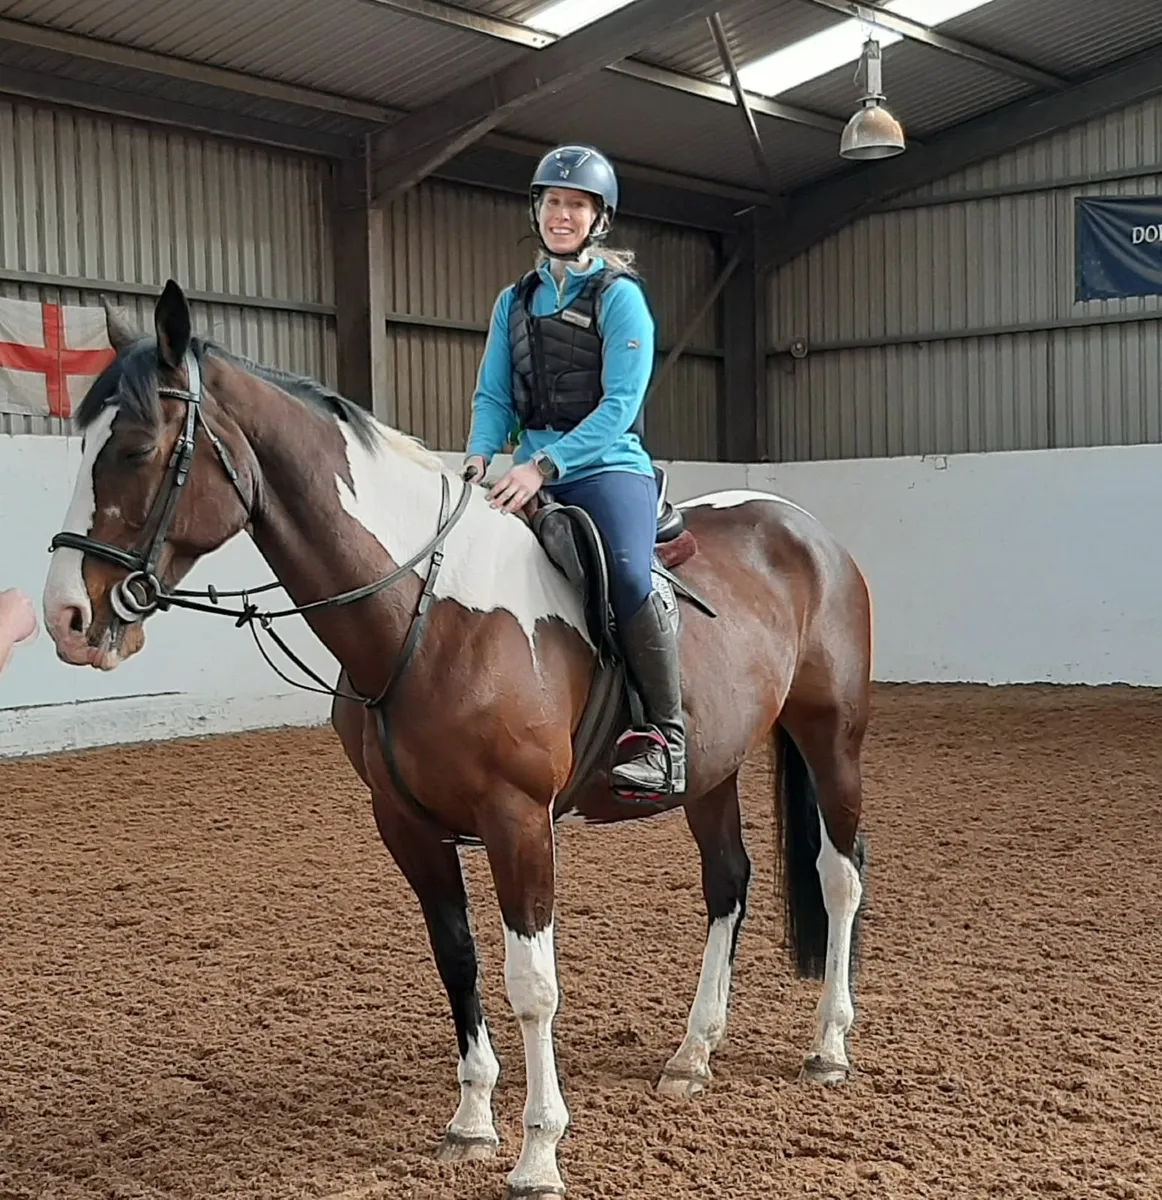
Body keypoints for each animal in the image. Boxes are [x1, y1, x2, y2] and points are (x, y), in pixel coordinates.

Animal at [41, 280, 872, 1200]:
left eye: (136, 446)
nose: (65, 617)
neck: (425, 610)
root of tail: (801, 524)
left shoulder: (519, 821)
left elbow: (531, 984)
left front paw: (539, 1152)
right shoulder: (407, 826)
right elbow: (458, 958)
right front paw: (472, 1122)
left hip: (833, 738)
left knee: (840, 876)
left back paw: (828, 1045)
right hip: (711, 769)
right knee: (727, 882)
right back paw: (693, 1055)